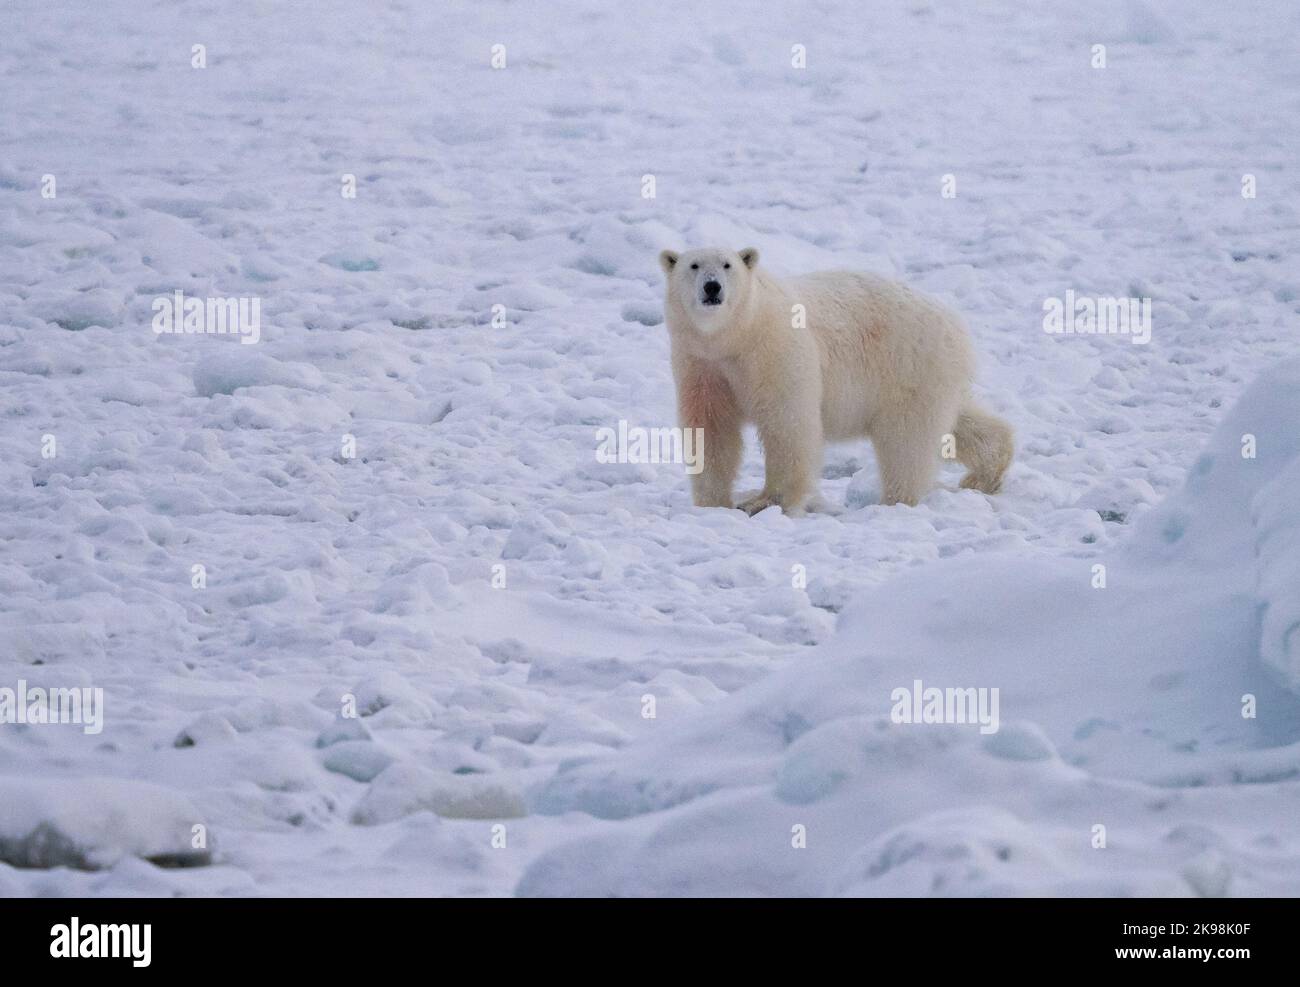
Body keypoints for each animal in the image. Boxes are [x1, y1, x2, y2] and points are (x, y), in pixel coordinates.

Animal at [660, 245, 1013, 517]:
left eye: (727, 265)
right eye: (693, 265)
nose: (712, 287)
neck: (736, 336)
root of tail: (955, 324)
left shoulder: (775, 352)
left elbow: (787, 424)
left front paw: (767, 502)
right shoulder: (702, 364)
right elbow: (712, 430)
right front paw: (713, 503)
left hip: (906, 365)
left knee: (906, 441)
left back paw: (895, 501)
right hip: (931, 375)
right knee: (957, 423)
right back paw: (985, 473)